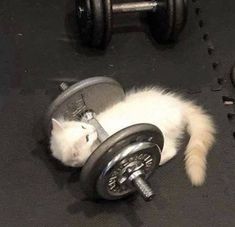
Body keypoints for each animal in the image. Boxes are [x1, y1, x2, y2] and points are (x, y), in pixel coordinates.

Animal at [50, 87, 216, 186]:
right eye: (86, 138)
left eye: (83, 127)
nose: (92, 129)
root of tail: (179, 106)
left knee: (170, 151)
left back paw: (158, 160)